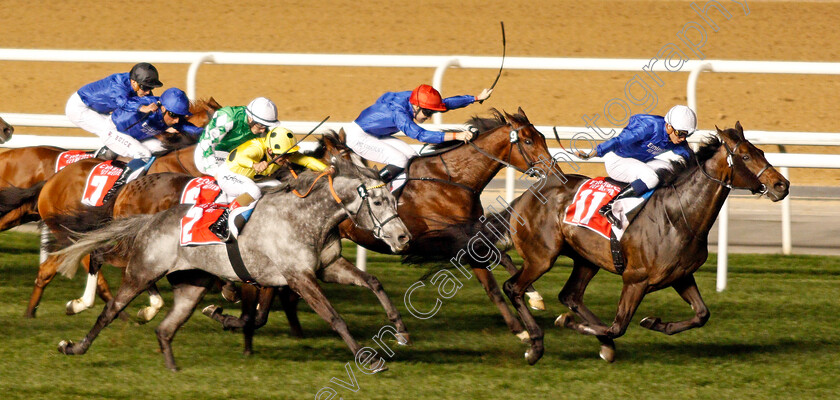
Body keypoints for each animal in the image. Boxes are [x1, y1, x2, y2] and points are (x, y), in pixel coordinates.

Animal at [50, 157, 412, 372]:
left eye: (395, 200)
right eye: (377, 201)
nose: (403, 237)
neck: (305, 217)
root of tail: (151, 220)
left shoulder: (328, 266)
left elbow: (374, 282)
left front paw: (401, 331)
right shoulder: (298, 276)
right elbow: (334, 317)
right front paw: (367, 358)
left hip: (192, 285)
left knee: (166, 328)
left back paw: (173, 367)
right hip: (141, 270)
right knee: (110, 307)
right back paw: (75, 344)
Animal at [492, 123, 788, 364]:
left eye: (761, 151)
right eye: (746, 156)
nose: (781, 185)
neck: (679, 215)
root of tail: (527, 195)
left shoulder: (681, 275)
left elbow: (702, 314)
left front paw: (655, 323)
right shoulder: (636, 279)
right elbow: (618, 326)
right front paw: (568, 323)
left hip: (586, 259)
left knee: (570, 295)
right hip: (542, 257)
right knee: (514, 288)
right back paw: (535, 345)